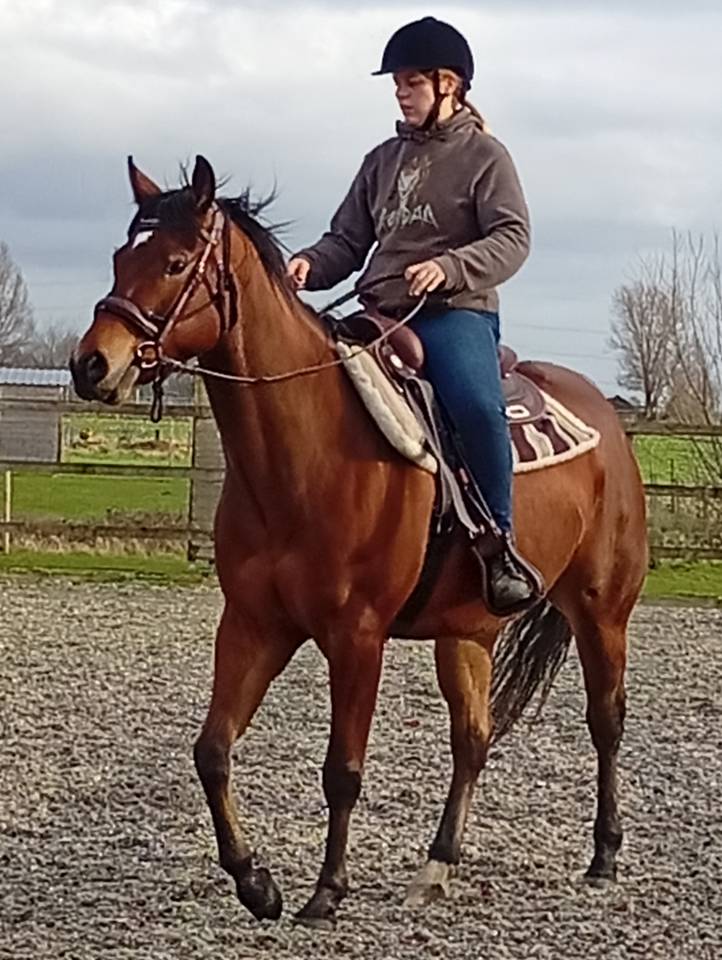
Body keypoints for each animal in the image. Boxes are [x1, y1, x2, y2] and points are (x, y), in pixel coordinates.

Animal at [70, 155, 648, 929]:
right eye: (118, 256)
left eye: (175, 262)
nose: (92, 365)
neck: (305, 452)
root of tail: (606, 420)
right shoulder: (253, 624)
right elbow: (212, 750)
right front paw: (256, 883)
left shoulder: (358, 636)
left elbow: (342, 769)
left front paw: (326, 891)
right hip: (468, 631)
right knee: (473, 739)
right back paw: (437, 866)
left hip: (601, 610)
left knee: (605, 722)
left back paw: (605, 855)